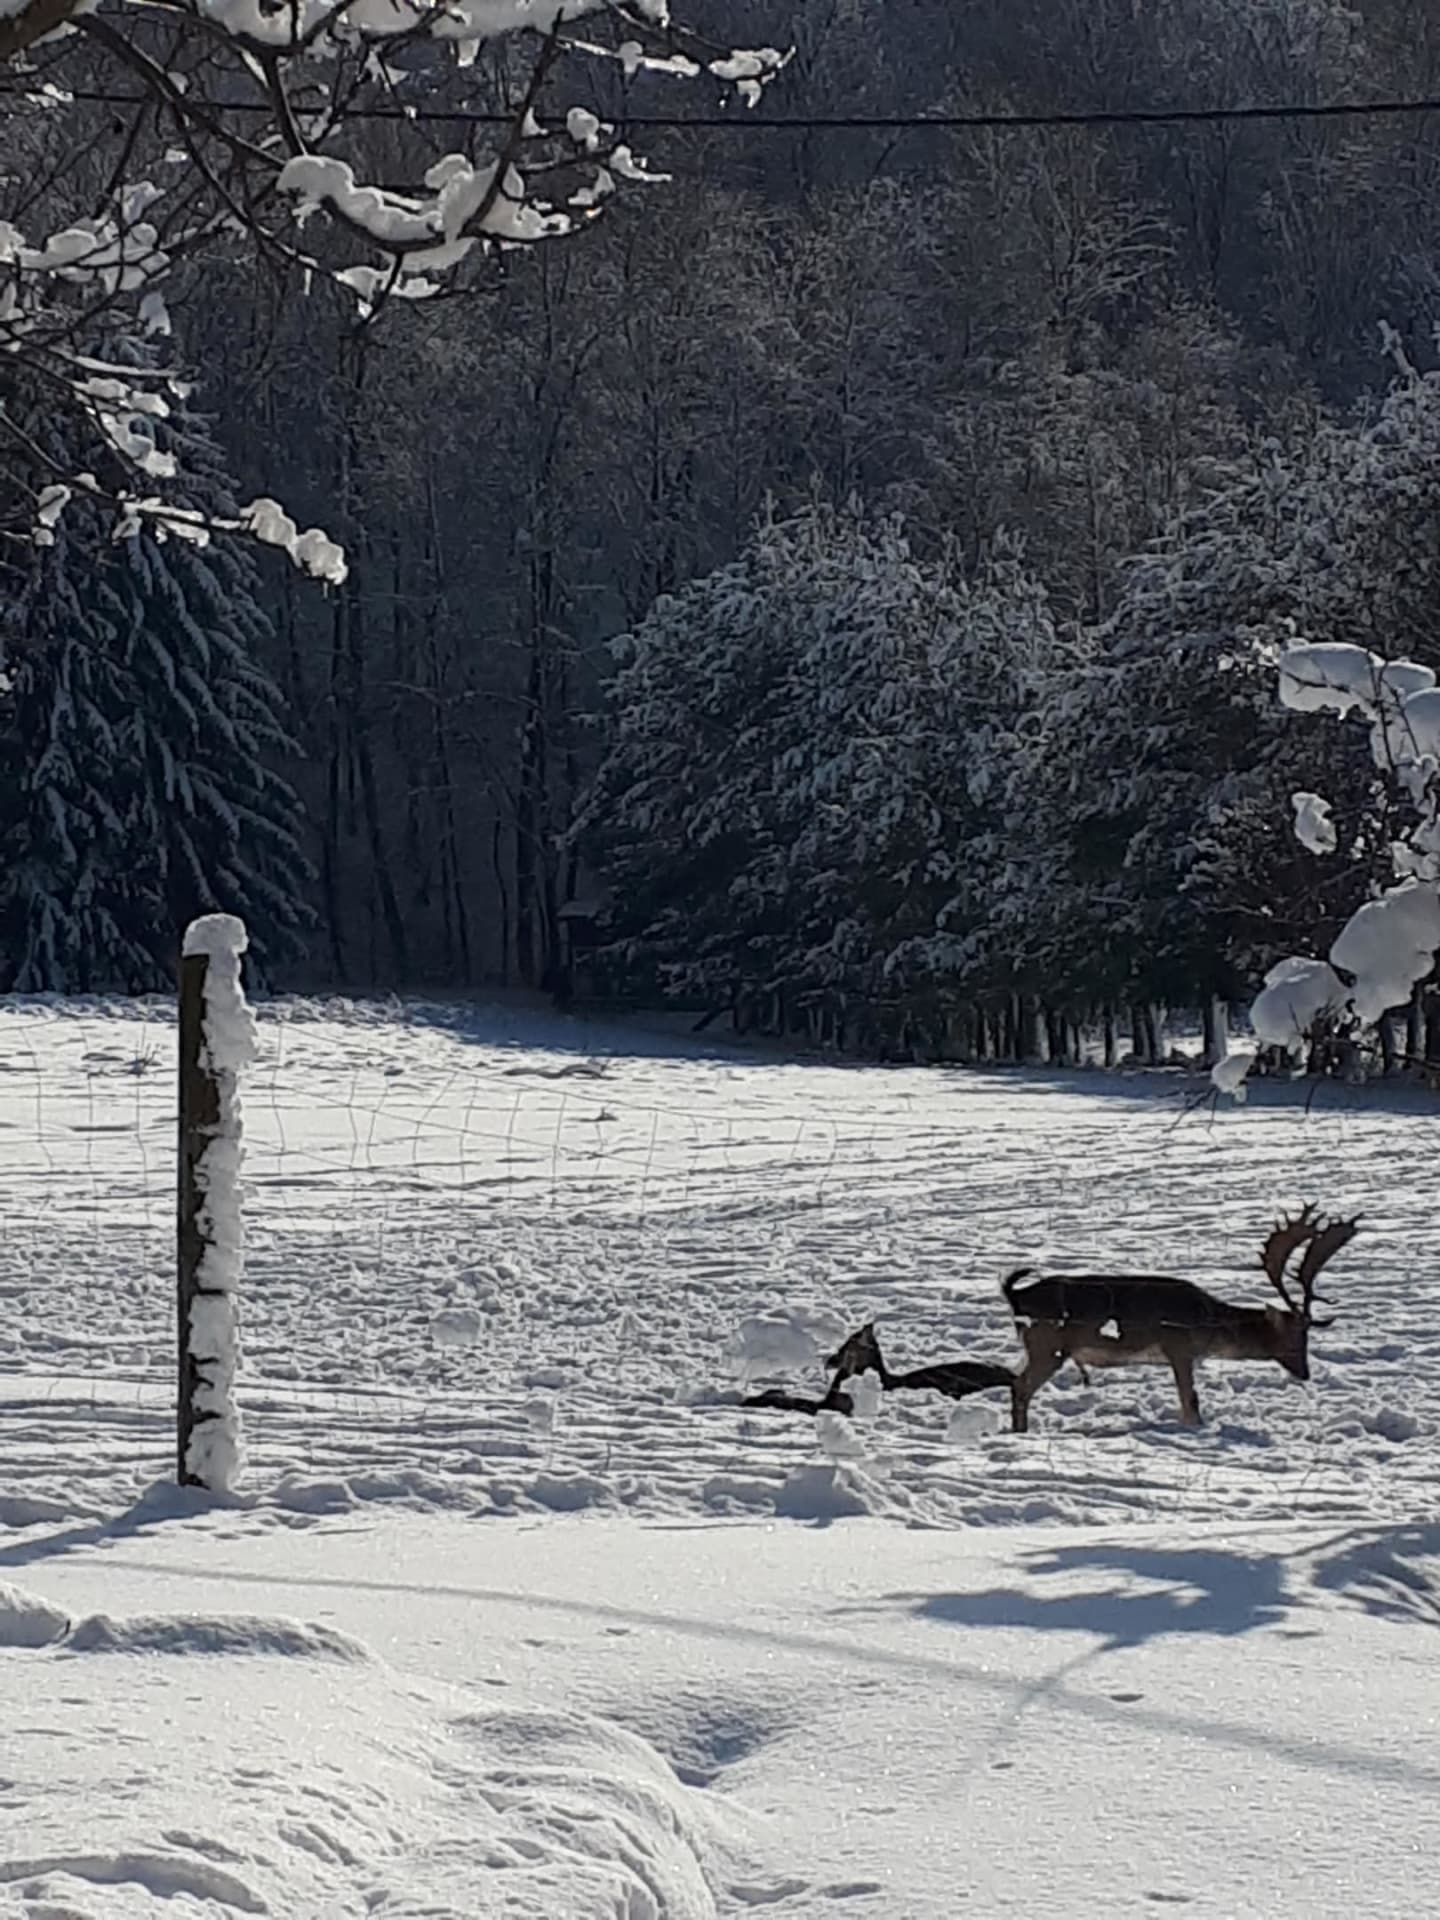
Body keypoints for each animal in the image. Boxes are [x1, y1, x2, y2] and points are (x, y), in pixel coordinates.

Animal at [1002, 1206, 1358, 1433]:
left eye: (1308, 1334)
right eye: (1293, 1333)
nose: (1305, 1372)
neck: (1209, 1323)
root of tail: (1015, 1295)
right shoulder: (1179, 1348)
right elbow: (1191, 1401)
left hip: (1036, 1346)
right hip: (1048, 1343)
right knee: (1020, 1387)